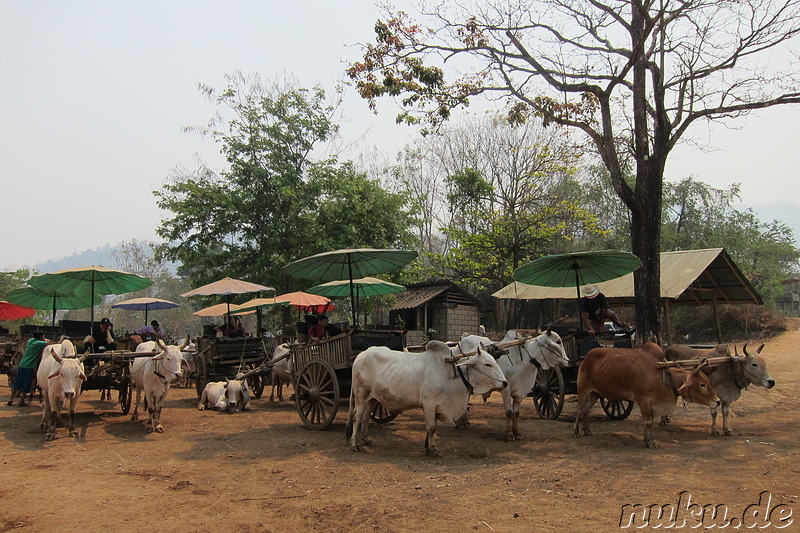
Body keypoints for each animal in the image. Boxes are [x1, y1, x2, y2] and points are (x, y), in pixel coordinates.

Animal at [346, 338, 510, 456]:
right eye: (487, 364)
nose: (505, 382)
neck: (451, 374)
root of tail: (360, 356)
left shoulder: (437, 406)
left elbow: (433, 427)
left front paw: (427, 447)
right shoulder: (429, 404)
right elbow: (431, 427)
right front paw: (433, 450)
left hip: (373, 398)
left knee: (366, 416)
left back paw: (365, 439)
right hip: (360, 395)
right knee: (357, 417)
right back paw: (354, 444)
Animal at [576, 340, 720, 448]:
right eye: (702, 384)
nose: (717, 401)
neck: (663, 376)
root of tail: (586, 357)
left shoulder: (653, 404)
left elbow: (649, 422)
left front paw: (647, 440)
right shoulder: (644, 401)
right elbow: (648, 422)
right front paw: (650, 443)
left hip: (595, 393)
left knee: (586, 410)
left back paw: (587, 430)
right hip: (583, 389)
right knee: (580, 409)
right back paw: (576, 432)